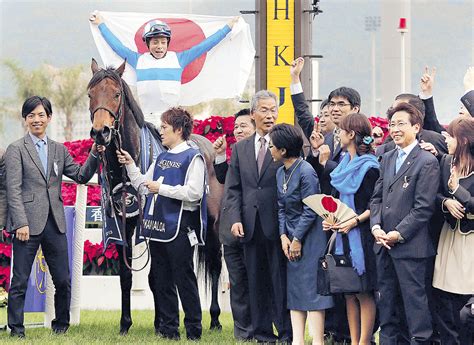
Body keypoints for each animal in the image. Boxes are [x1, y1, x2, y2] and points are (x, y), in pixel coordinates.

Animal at [88, 59, 226, 334]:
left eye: (116, 94)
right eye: (90, 94)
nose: (100, 132)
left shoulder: (150, 227)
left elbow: (155, 277)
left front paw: (160, 323)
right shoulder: (123, 224)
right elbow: (127, 276)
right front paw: (125, 324)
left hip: (213, 227)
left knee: (215, 265)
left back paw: (215, 319)